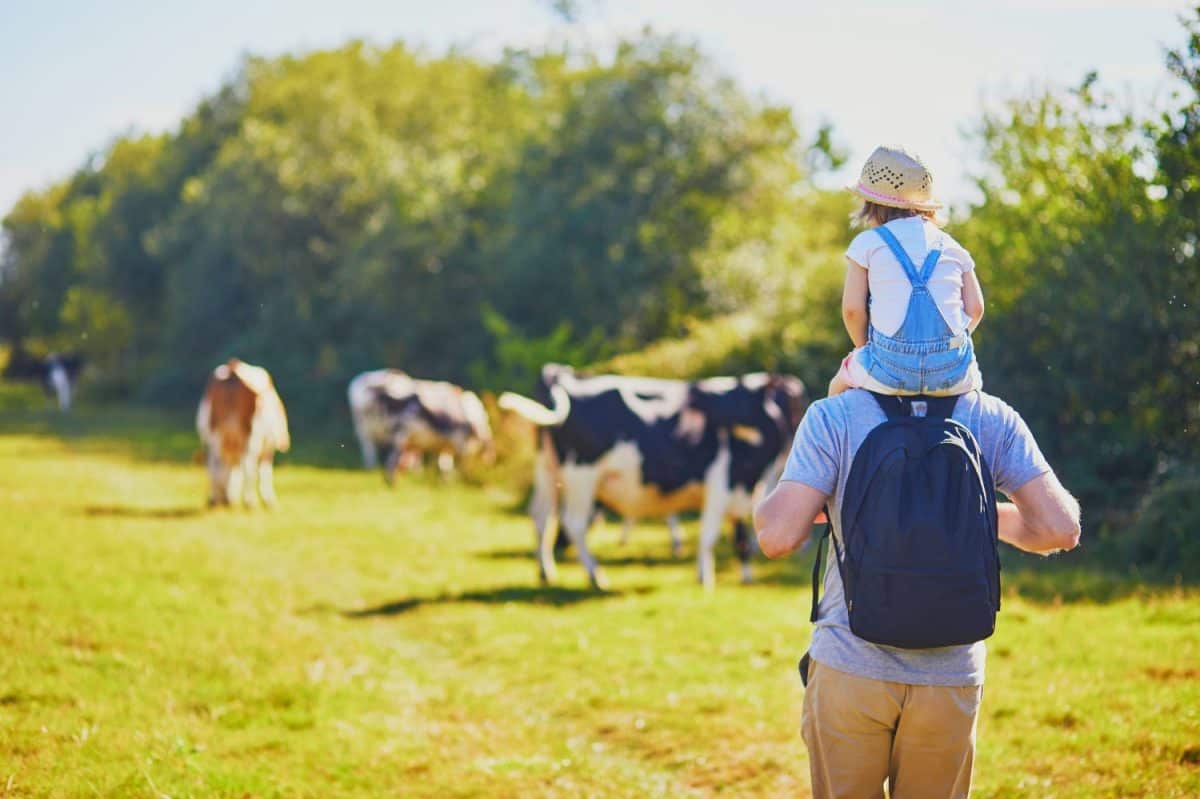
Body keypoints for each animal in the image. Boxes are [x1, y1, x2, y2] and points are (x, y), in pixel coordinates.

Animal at [196, 355, 292, 503]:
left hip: (214, 431)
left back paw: (217, 498)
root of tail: (233, 367)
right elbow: (265, 470)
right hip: (252, 432)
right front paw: (268, 499)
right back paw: (249, 500)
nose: (225, 500)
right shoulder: (269, 444)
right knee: (248, 463)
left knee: (214, 462)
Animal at [345, 369, 494, 479]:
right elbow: (454, 465)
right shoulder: (458, 440)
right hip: (393, 433)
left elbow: (444, 465)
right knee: (385, 459)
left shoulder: (444, 446)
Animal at [496, 364, 806, 587]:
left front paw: (744, 576)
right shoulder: (722, 482)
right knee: (573, 523)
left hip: (548, 471)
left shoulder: (743, 487)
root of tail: (562, 375)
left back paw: (546, 571)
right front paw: (706, 579)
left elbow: (740, 537)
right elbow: (710, 534)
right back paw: (596, 576)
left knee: (541, 516)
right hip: (581, 475)